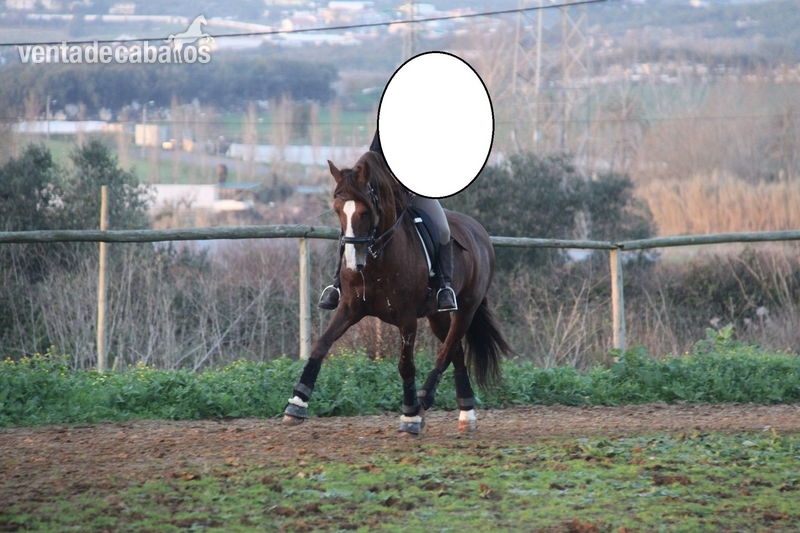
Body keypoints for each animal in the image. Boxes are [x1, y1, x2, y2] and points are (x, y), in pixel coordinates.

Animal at [283, 151, 511, 435]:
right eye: (337, 211)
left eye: (365, 213)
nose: (353, 263)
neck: (378, 259)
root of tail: (479, 231)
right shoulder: (350, 308)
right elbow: (320, 345)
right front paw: (297, 403)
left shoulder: (407, 319)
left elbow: (406, 365)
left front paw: (409, 416)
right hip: (437, 316)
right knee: (455, 351)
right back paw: (463, 412)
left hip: (466, 310)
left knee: (445, 353)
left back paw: (424, 405)